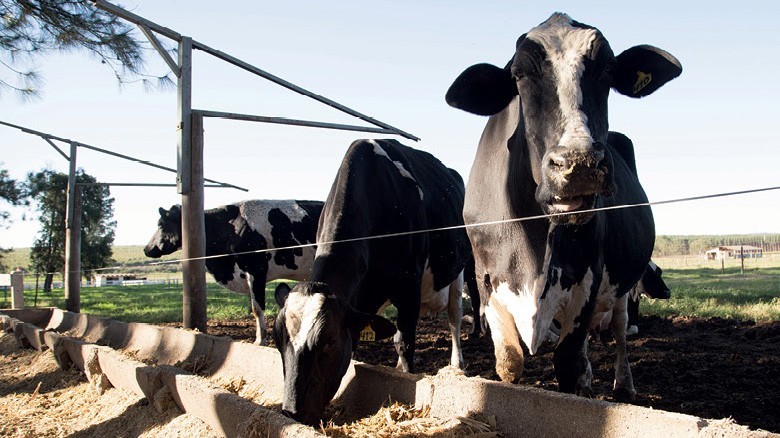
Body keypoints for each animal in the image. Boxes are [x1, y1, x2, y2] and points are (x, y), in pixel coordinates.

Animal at [144, 200, 323, 345]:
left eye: (161, 224)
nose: (146, 249)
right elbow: (253, 307)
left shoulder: (256, 269)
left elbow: (257, 308)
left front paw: (260, 340)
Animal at [272, 138, 472, 425]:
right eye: (277, 340)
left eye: (329, 342)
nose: (292, 412)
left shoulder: (408, 287)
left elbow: (404, 341)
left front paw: (408, 377)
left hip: (459, 271)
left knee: (455, 318)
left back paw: (457, 364)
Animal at [445, 12, 682, 400]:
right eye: (519, 75)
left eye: (608, 70)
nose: (580, 162)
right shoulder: (484, 277)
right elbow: (509, 361)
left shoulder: (588, 277)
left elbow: (568, 363)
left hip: (623, 283)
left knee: (619, 328)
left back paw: (623, 384)